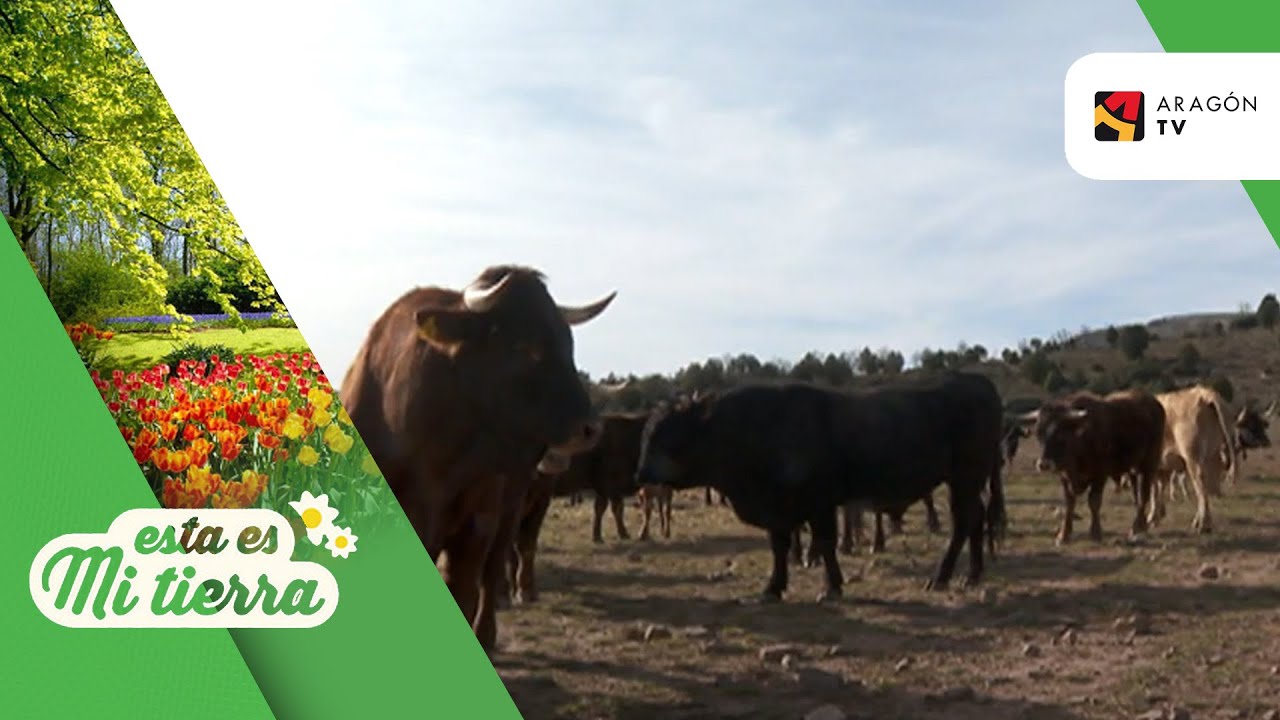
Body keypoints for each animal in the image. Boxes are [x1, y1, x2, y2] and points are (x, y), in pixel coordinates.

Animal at [340, 265, 615, 651]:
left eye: (568, 343)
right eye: (524, 346)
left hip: (511, 508)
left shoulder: (475, 528)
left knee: (498, 566)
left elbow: (466, 591)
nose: (590, 427)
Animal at [635, 372, 1007, 603]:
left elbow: (825, 543)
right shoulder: (780, 510)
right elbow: (780, 546)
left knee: (964, 520)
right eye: (647, 433)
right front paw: (773, 588)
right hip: (966, 481)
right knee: (975, 518)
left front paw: (831, 587)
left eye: (669, 433)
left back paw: (942, 577)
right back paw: (972, 575)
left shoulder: (819, 502)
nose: (640, 474)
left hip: (965, 476)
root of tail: (975, 381)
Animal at [1018, 390, 1164, 545]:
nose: (1044, 464)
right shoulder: (1064, 476)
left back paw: (1137, 528)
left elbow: (1094, 502)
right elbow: (1069, 503)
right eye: (1039, 434)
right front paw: (1064, 534)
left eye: (1060, 434)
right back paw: (1141, 525)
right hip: (1133, 469)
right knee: (1137, 495)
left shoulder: (1100, 474)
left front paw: (1095, 532)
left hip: (1149, 464)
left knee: (1144, 494)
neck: (1080, 440)